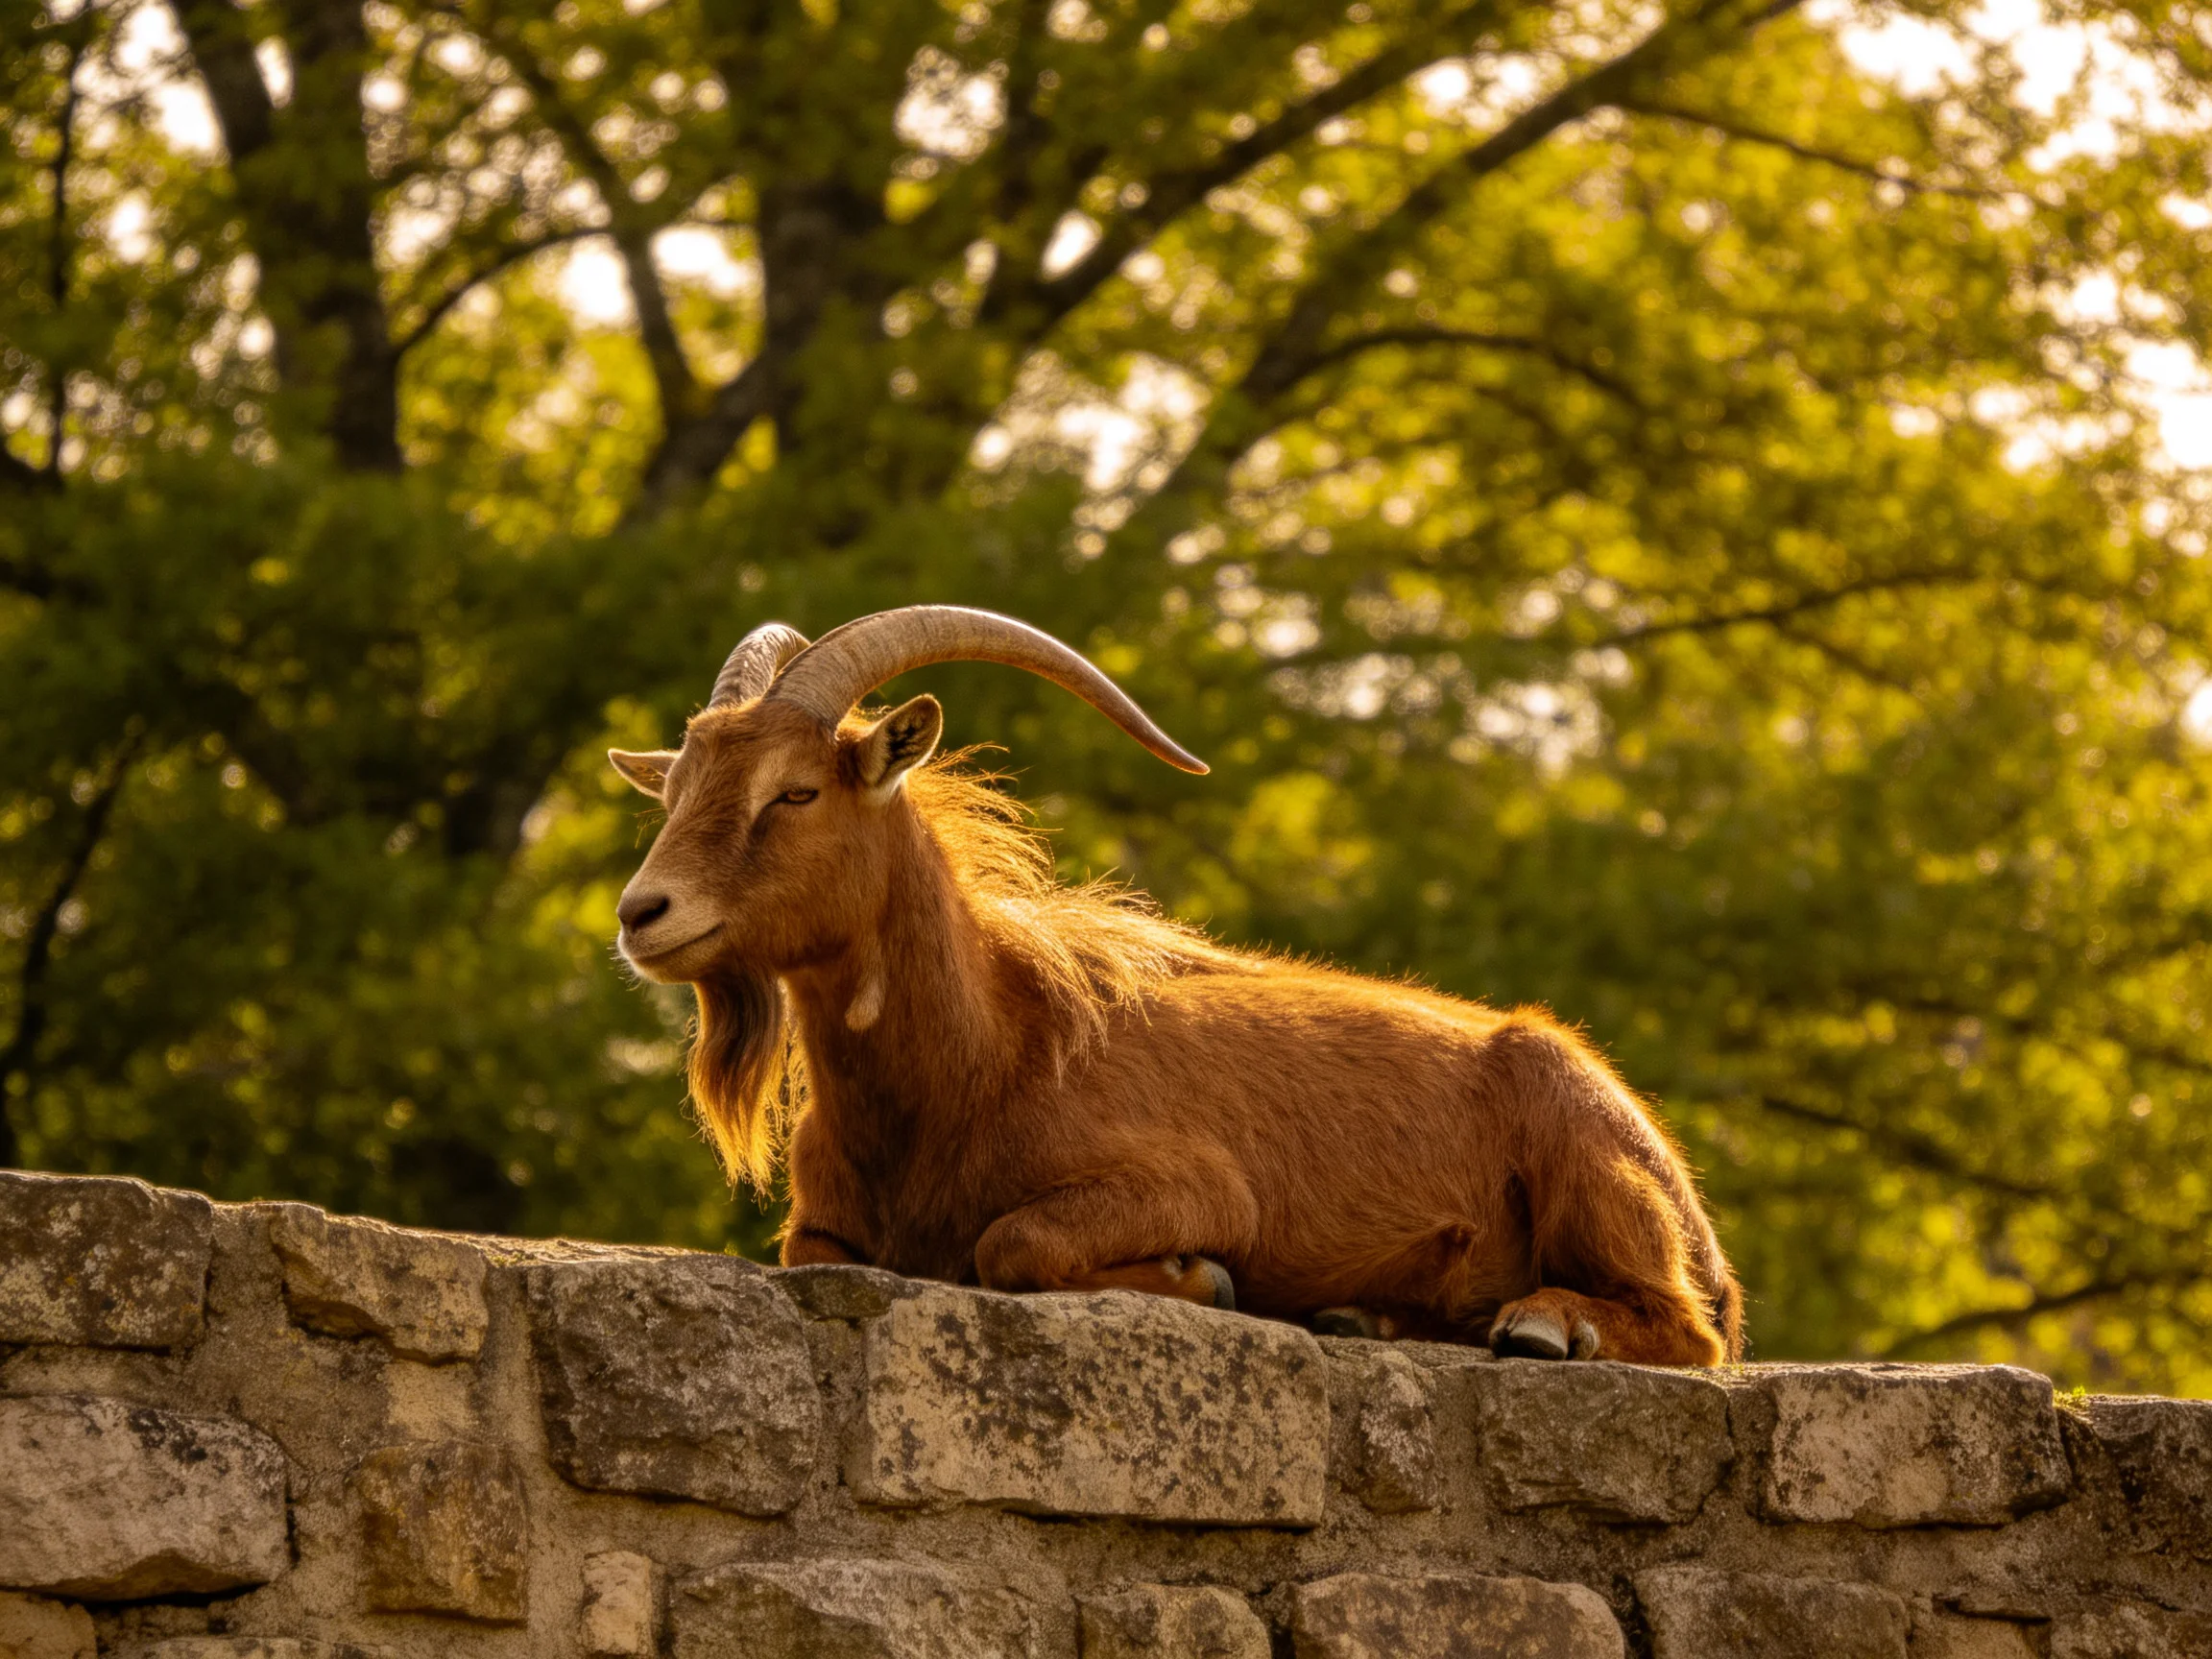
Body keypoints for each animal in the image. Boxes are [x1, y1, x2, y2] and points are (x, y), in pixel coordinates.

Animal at [611, 607, 1742, 1364]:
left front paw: (1197, 1279)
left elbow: (1013, 1240)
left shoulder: (1191, 1185)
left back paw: (1546, 1323)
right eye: (677, 790)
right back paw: (1368, 1314)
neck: (980, 1055)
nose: (643, 913)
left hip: (1590, 1167)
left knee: (1687, 1331)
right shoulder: (827, 1229)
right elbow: (812, 1253)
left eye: (796, 792)